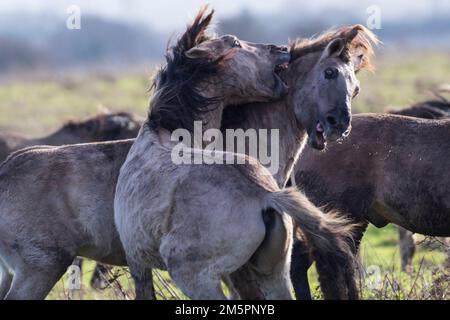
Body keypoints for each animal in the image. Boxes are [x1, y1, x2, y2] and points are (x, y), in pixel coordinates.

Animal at [115, 10, 362, 300]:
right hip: (273, 274)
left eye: (355, 89)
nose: (340, 124)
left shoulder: (137, 261)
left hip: (197, 279)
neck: (163, 131)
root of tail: (264, 195)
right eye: (329, 73)